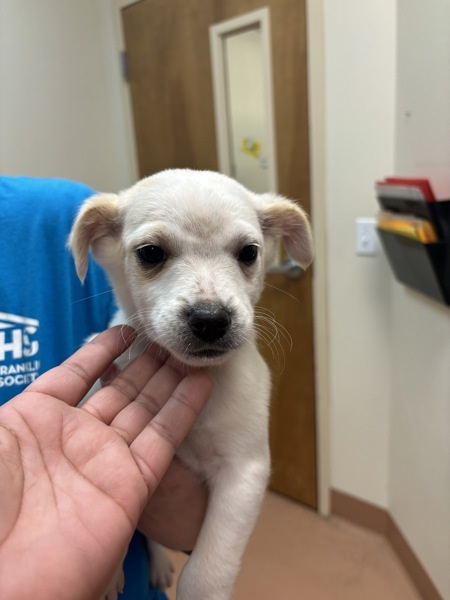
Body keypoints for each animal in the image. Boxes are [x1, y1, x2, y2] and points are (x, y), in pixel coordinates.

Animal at [68, 170, 312, 600]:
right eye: (150, 253)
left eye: (249, 252)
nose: (211, 319)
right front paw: (108, 574)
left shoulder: (242, 469)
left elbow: (206, 570)